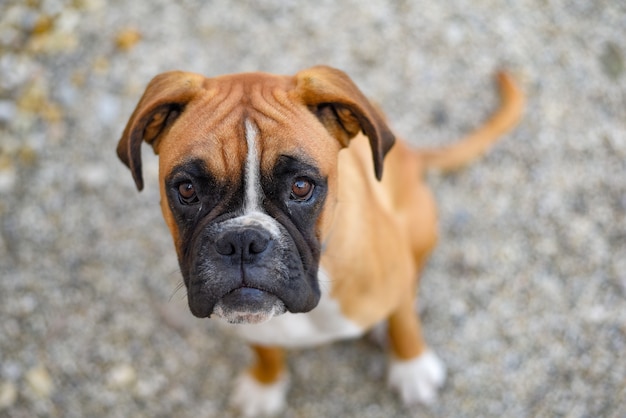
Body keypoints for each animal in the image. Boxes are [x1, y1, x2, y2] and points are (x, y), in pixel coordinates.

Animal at [116, 65, 520, 414]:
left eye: (301, 186)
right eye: (186, 190)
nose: (243, 241)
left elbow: (403, 324)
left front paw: (412, 368)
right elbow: (264, 348)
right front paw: (265, 384)